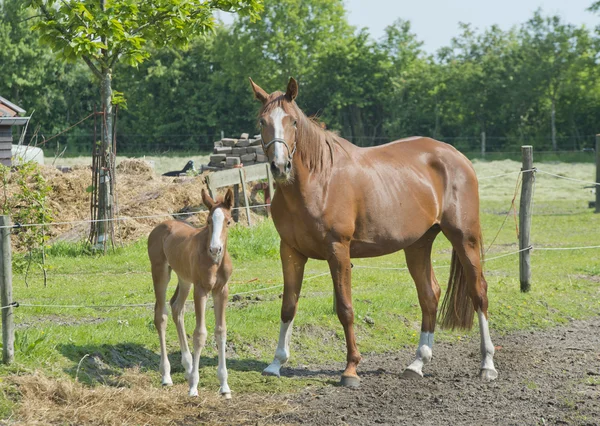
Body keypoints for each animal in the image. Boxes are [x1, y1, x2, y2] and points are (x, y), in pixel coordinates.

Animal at [148, 188, 234, 398]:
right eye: (209, 221)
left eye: (228, 221)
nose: (215, 249)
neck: (215, 263)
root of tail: (162, 225)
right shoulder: (201, 289)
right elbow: (200, 334)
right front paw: (194, 386)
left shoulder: (222, 290)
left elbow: (221, 331)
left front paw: (224, 385)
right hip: (161, 273)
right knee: (161, 315)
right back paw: (166, 375)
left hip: (184, 279)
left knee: (176, 307)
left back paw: (187, 367)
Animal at [248, 76, 496, 386]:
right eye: (262, 121)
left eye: (293, 121)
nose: (280, 167)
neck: (318, 180)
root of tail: (458, 157)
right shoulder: (290, 251)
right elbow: (288, 306)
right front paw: (276, 363)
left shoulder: (338, 250)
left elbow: (345, 309)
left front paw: (351, 369)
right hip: (418, 245)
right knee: (429, 295)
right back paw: (417, 363)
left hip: (464, 239)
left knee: (479, 292)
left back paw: (487, 364)